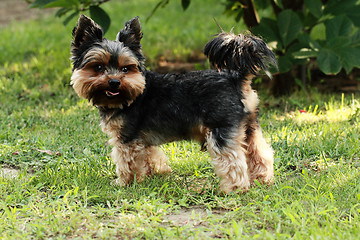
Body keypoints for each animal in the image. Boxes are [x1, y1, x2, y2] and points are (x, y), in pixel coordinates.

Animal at [71, 14, 278, 193]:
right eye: (98, 67)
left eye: (125, 68)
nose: (114, 82)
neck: (130, 96)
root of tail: (236, 78)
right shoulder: (143, 139)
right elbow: (151, 155)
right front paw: (157, 173)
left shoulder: (126, 139)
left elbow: (126, 162)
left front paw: (125, 183)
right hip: (249, 127)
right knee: (260, 153)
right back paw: (263, 179)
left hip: (221, 129)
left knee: (232, 161)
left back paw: (234, 189)